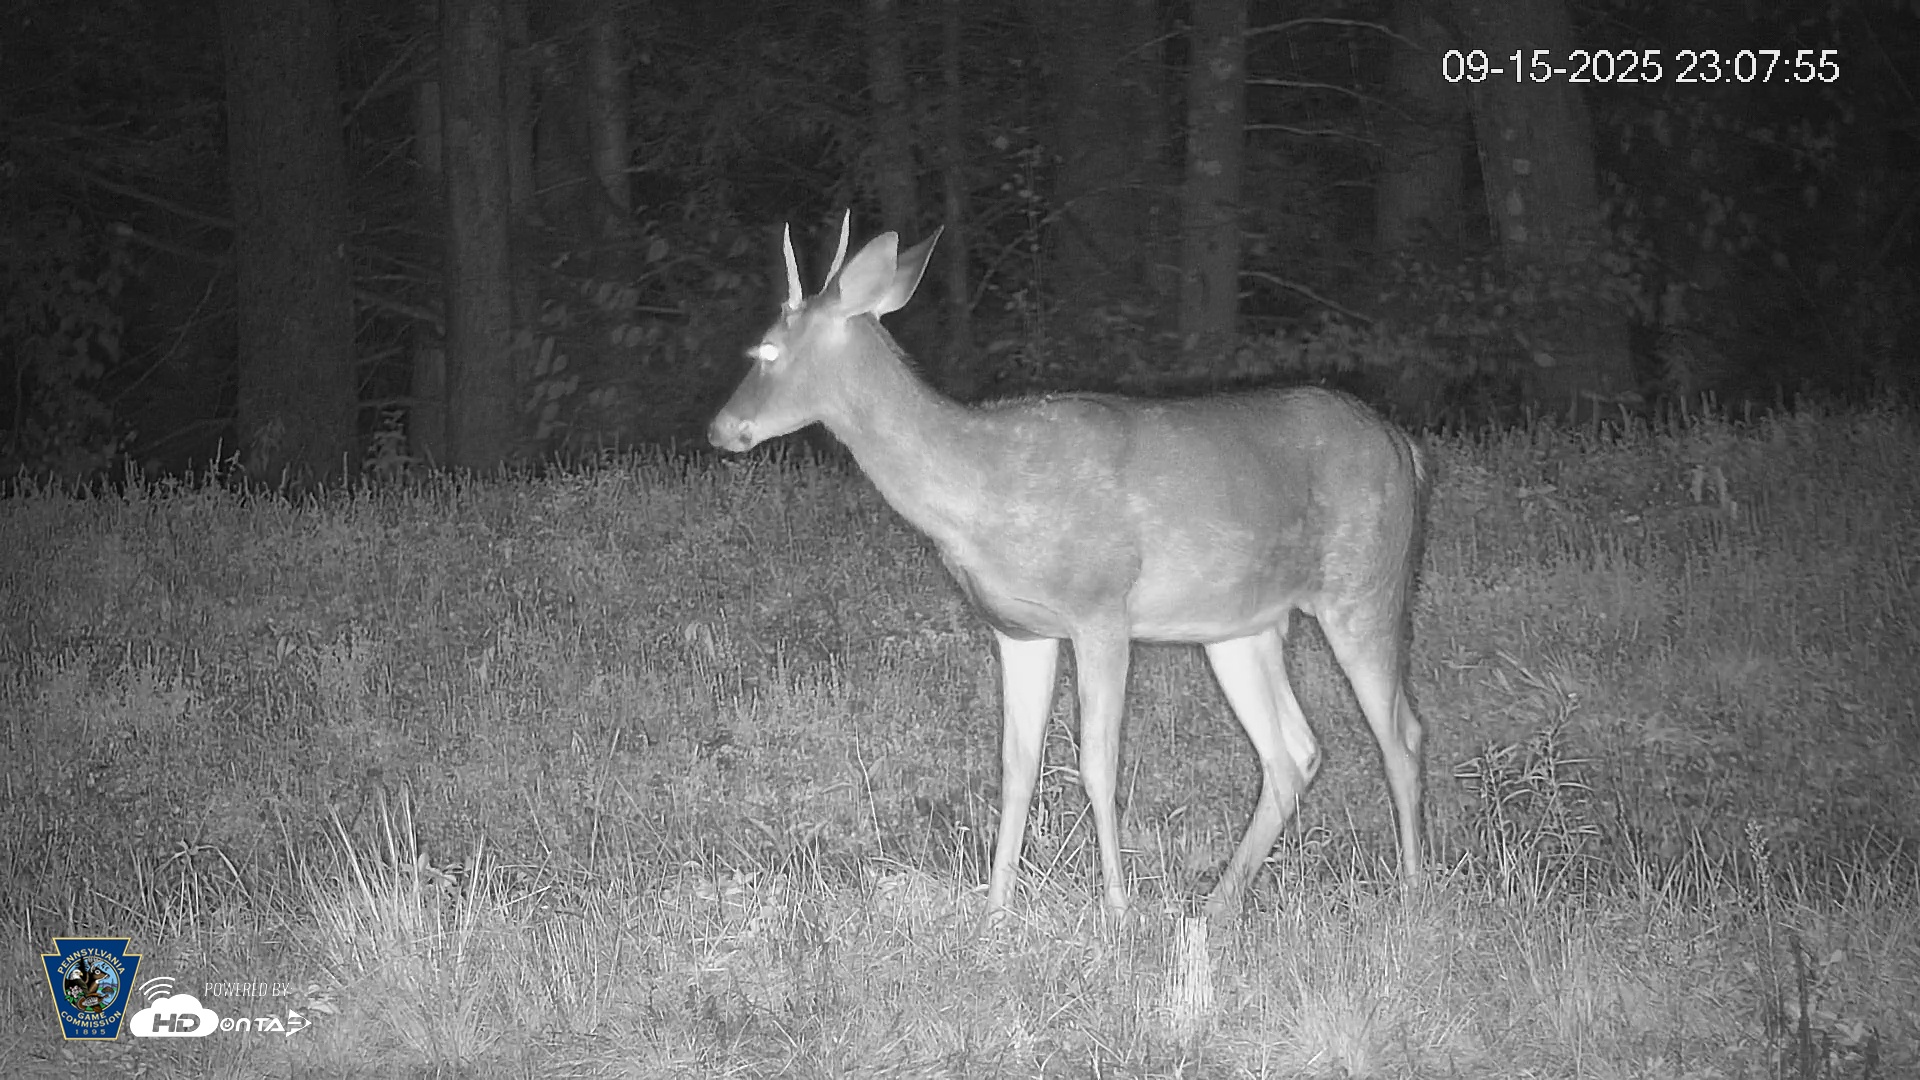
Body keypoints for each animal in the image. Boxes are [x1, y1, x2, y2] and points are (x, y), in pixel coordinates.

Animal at [710, 214, 1430, 919]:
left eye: (766, 350)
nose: (720, 428)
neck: (981, 491)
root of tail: (1406, 445)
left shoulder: (1101, 609)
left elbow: (1097, 764)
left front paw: (1116, 908)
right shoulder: (1018, 631)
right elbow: (1017, 765)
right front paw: (995, 912)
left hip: (1366, 583)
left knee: (1402, 733)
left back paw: (1410, 890)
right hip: (1238, 626)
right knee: (1294, 753)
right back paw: (1216, 905)